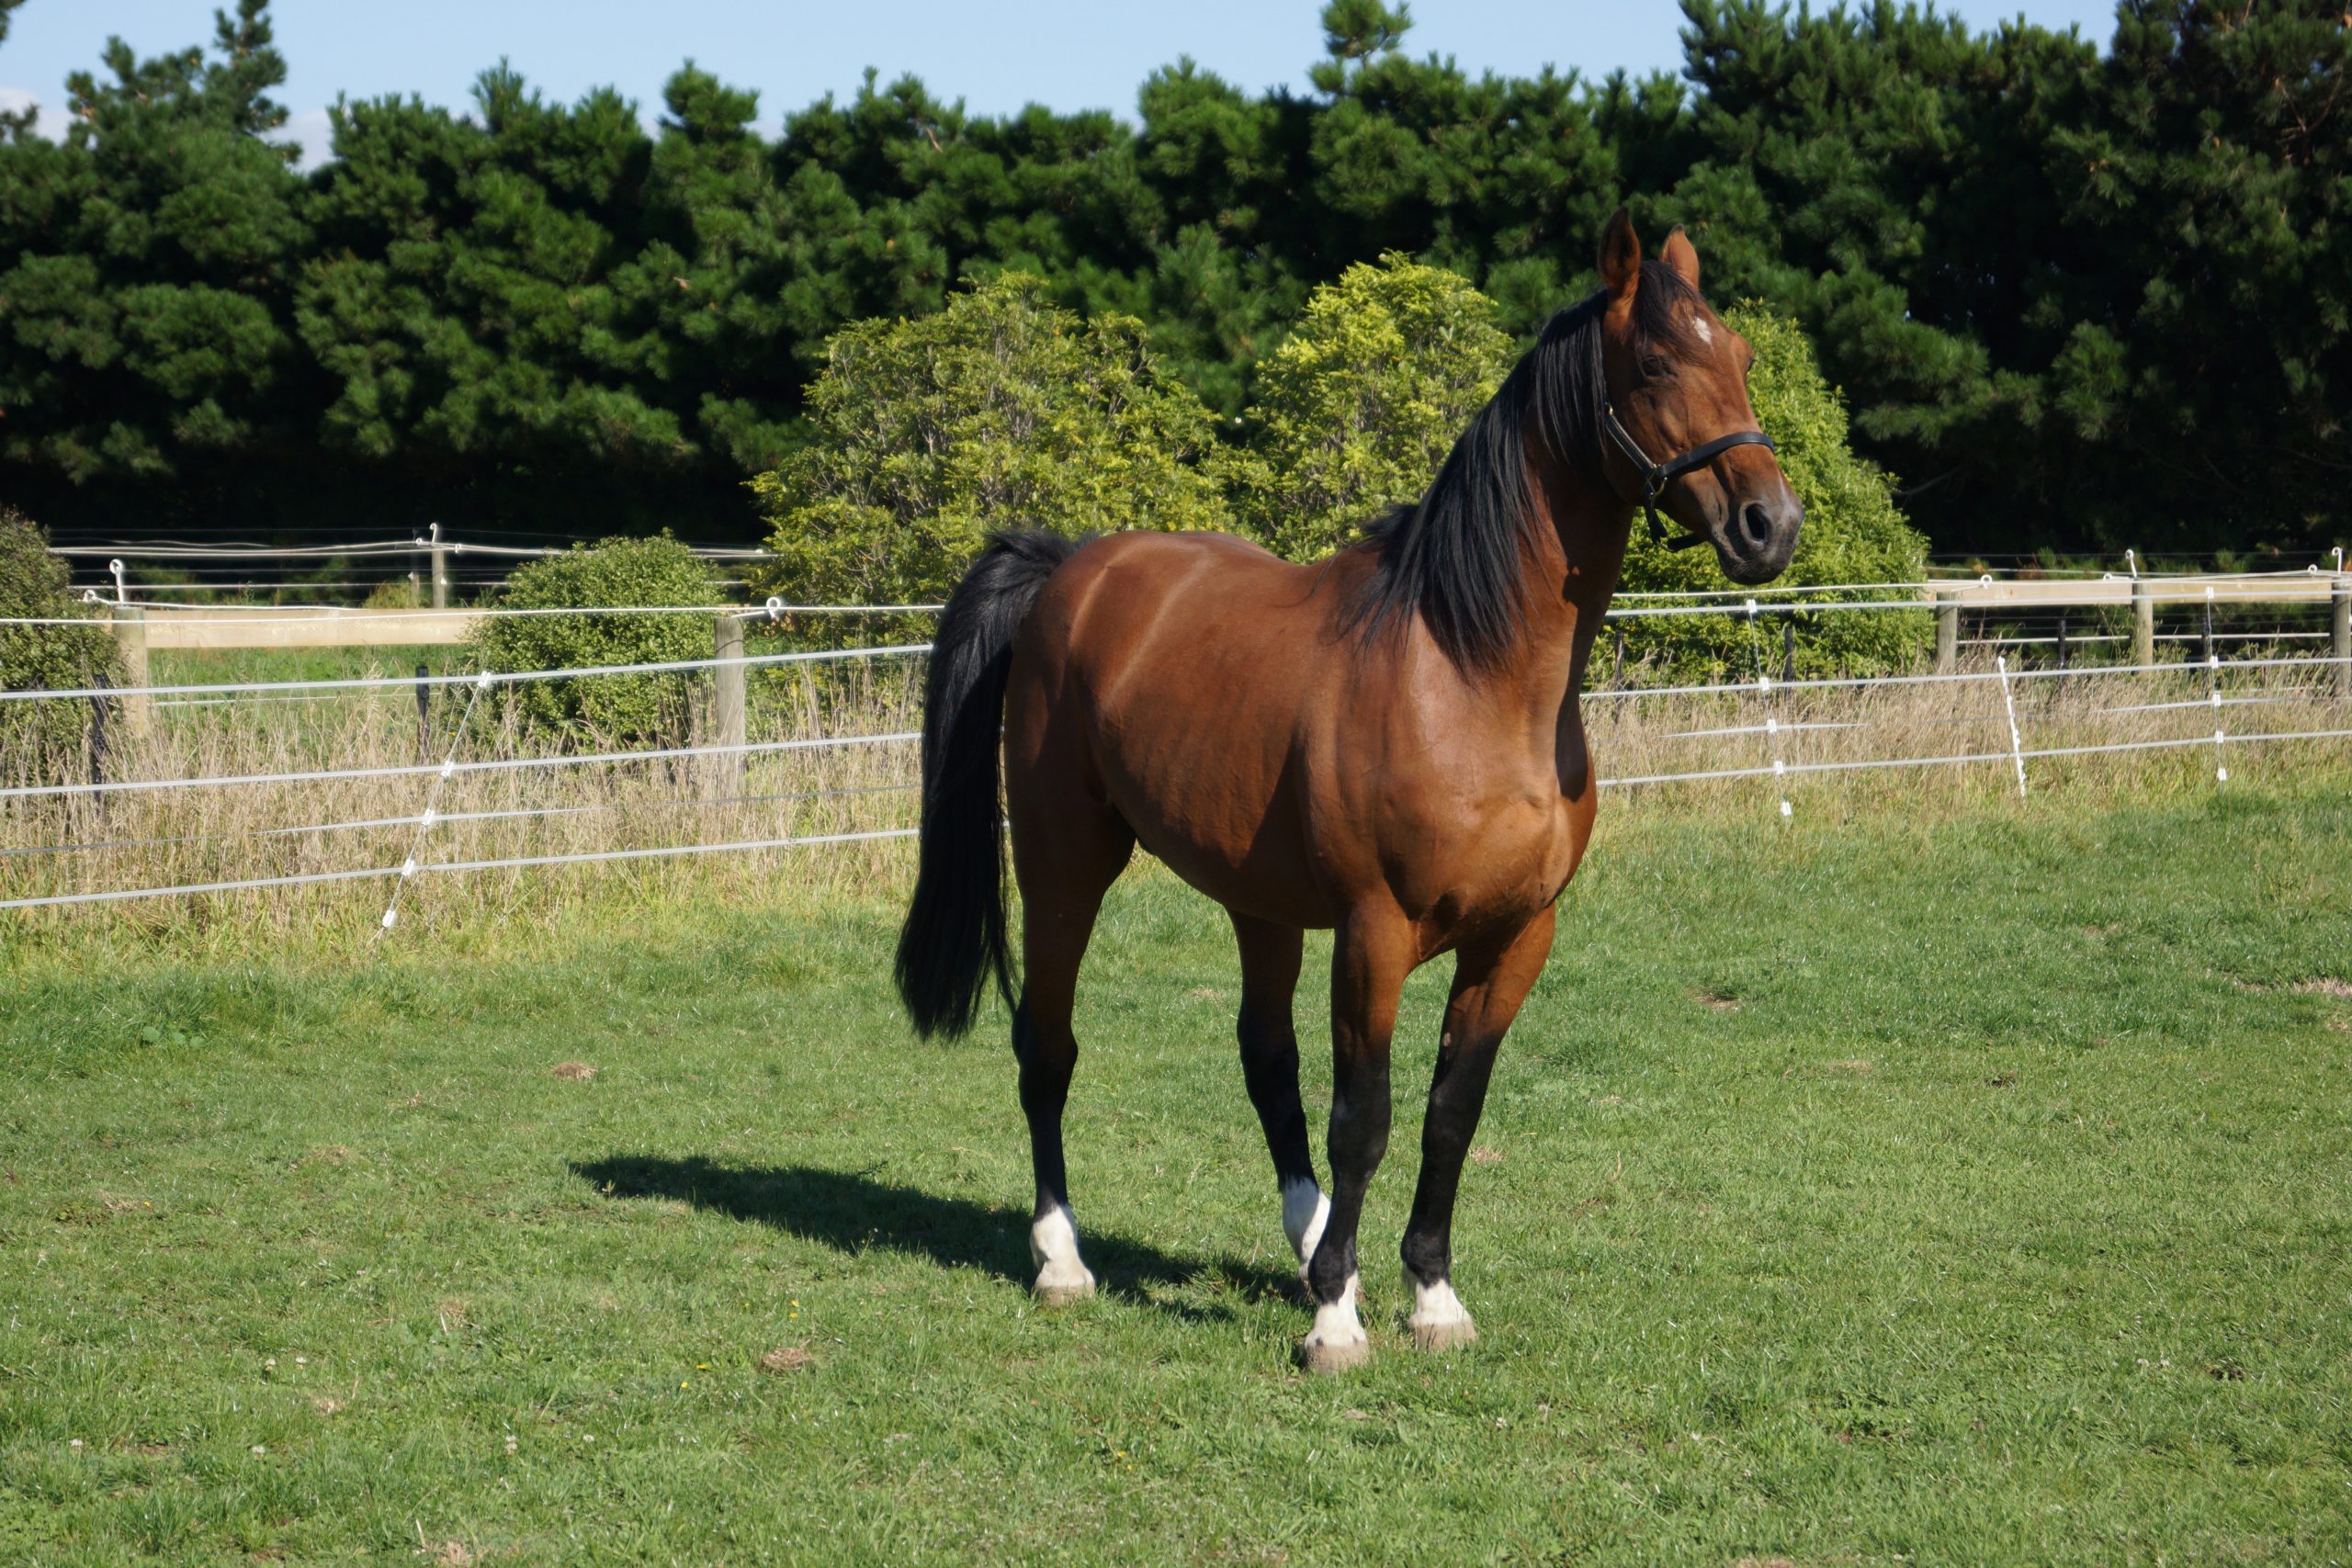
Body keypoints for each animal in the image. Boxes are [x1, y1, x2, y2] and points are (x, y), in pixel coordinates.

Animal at [892, 211, 1802, 1372]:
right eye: (1651, 366)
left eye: (1740, 359)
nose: (1768, 525)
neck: (1466, 672)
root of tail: (1067, 570)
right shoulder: (1374, 933)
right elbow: (1362, 1117)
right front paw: (1335, 1320)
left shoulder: (1516, 938)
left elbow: (1449, 1112)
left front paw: (1428, 1295)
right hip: (1064, 871)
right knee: (1047, 1050)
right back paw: (1065, 1262)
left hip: (1261, 902)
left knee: (1264, 1060)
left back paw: (1311, 1240)